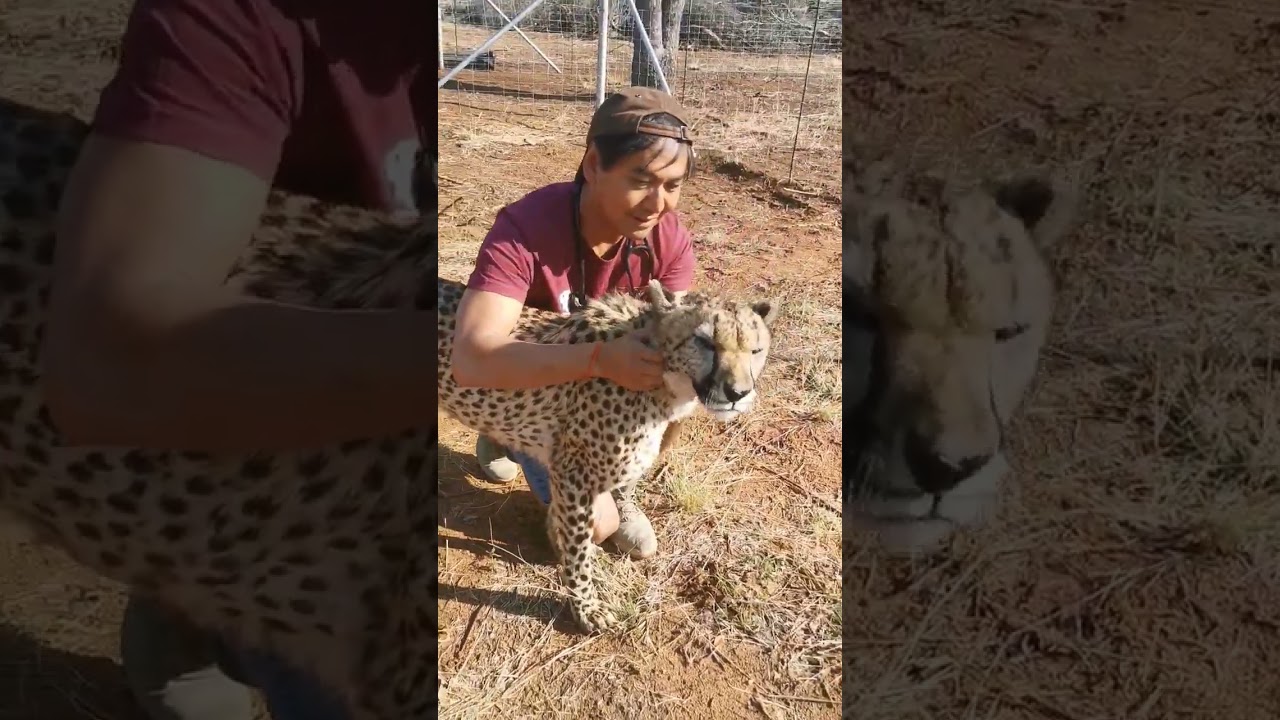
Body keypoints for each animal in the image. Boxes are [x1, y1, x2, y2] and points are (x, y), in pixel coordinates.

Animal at [437, 275, 780, 634]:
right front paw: (585, 606)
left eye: (756, 351)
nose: (737, 393)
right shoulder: (574, 473)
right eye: (705, 342)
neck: (663, 379)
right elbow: (577, 548)